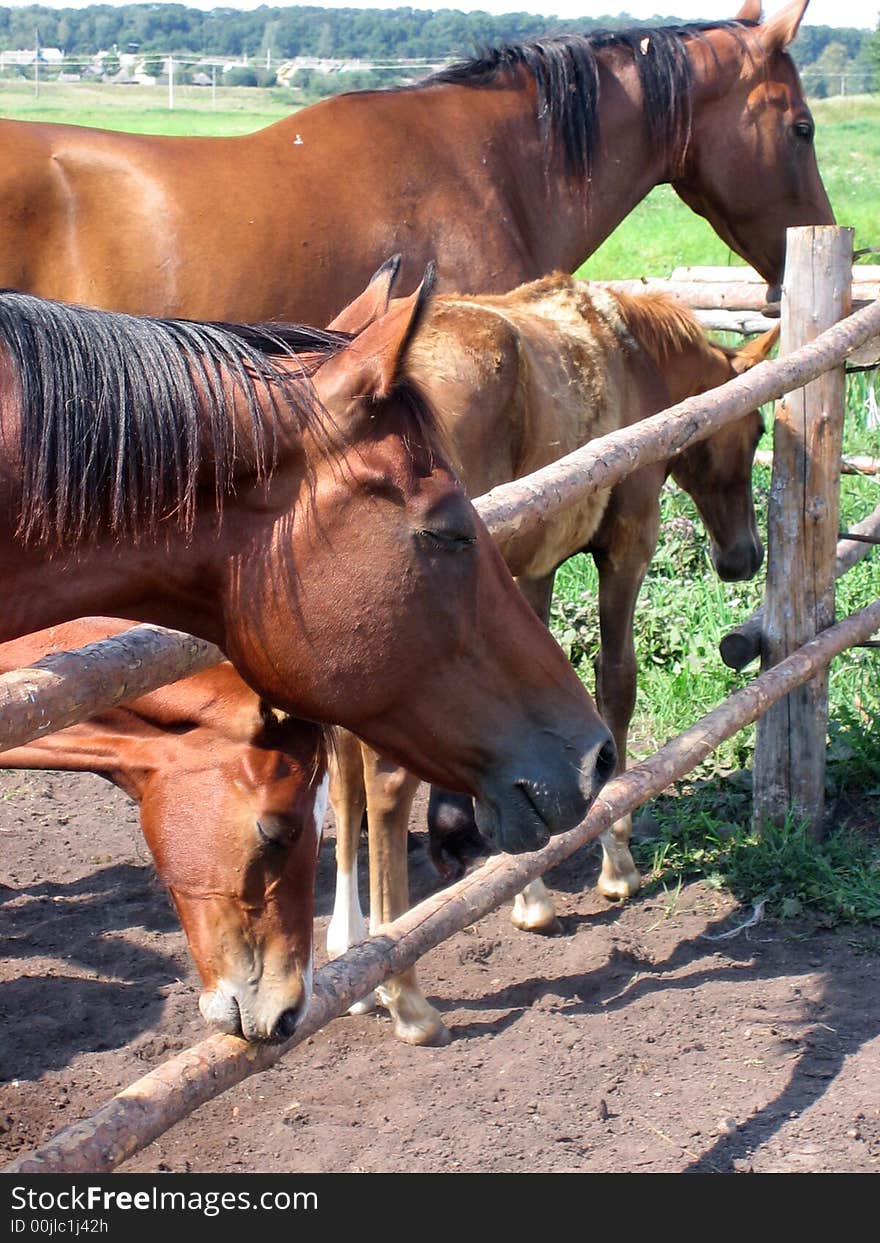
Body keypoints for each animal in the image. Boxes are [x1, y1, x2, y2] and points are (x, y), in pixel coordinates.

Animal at [325, 277, 775, 1044]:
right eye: (757, 428)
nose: (743, 556)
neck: (632, 356)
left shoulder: (528, 574)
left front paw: (528, 885)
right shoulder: (628, 542)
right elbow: (614, 686)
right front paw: (614, 858)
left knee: (343, 769)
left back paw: (349, 954)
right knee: (383, 780)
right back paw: (402, 990)